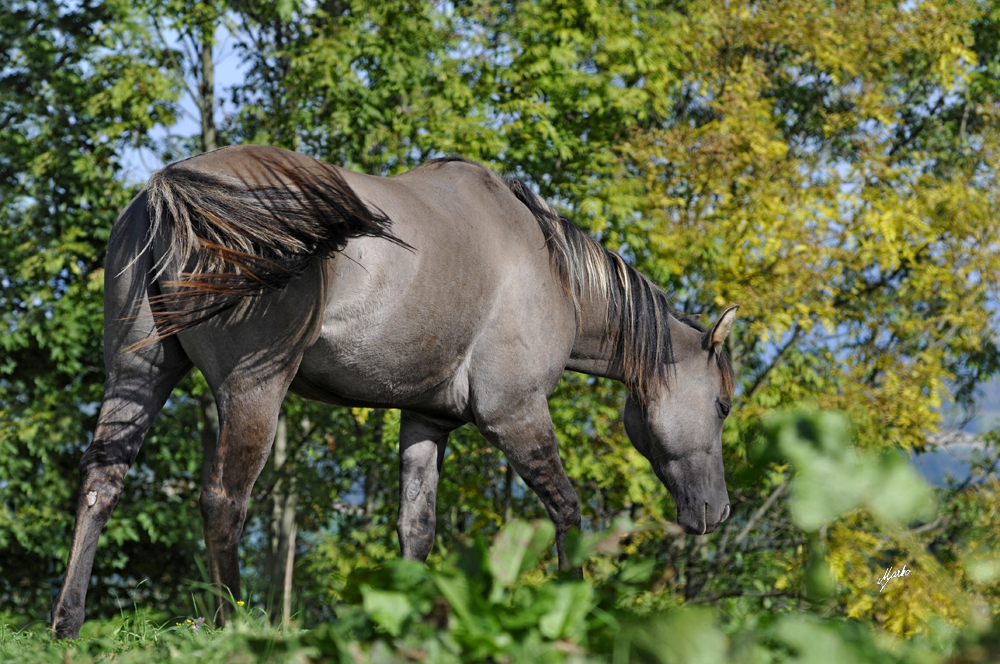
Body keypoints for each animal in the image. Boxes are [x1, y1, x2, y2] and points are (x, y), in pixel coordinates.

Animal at [50, 147, 740, 640]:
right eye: (723, 405)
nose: (718, 511)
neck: (549, 268)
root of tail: (169, 189)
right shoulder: (515, 414)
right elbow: (567, 513)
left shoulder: (425, 421)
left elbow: (416, 529)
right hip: (253, 392)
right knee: (223, 500)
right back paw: (231, 626)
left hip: (138, 375)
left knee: (102, 483)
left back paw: (67, 623)